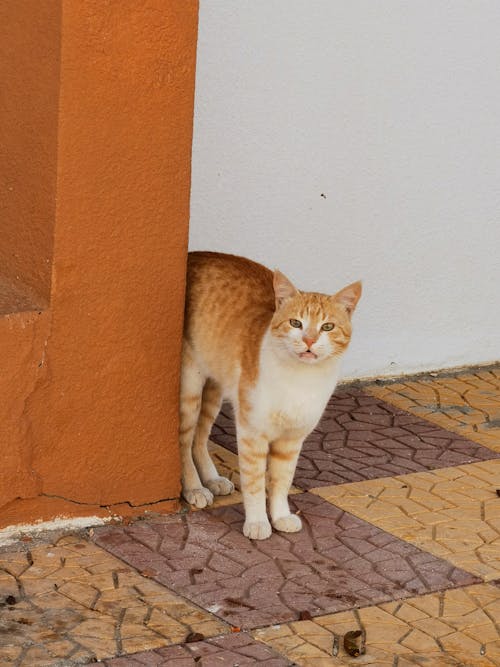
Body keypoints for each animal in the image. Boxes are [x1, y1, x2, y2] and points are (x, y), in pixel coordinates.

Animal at [179, 253, 360, 540]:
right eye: (296, 323)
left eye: (328, 327)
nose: (309, 341)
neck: (300, 380)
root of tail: (194, 254)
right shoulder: (252, 433)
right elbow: (254, 481)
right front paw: (257, 522)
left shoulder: (291, 440)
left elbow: (281, 481)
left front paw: (281, 516)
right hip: (190, 391)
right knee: (184, 443)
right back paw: (195, 488)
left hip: (214, 391)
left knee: (200, 438)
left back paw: (211, 479)